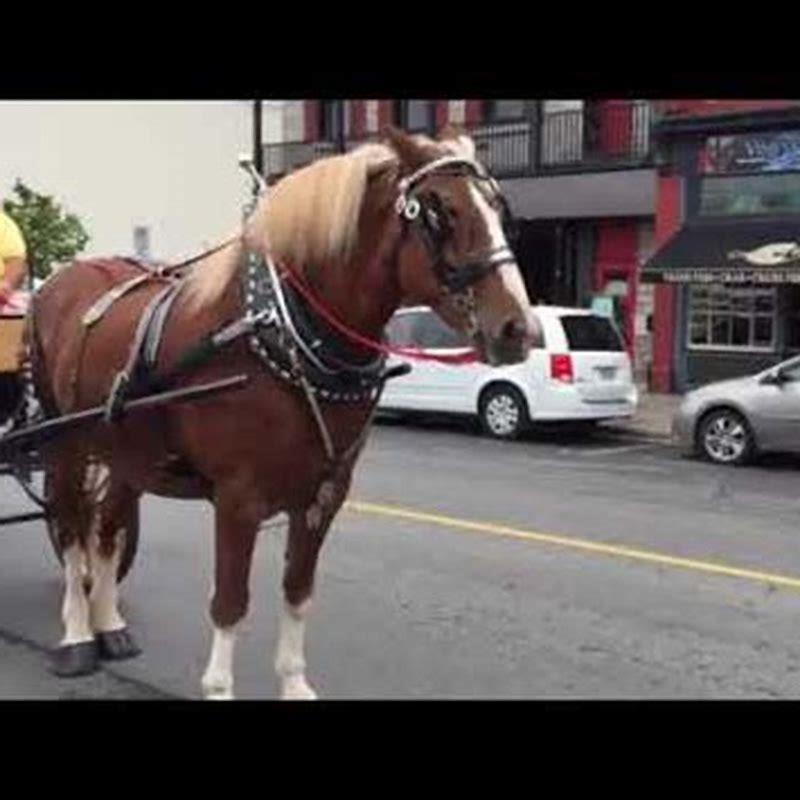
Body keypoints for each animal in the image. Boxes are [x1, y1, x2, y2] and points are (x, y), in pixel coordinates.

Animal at [26, 125, 541, 699]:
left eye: (498, 207)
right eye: (440, 211)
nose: (520, 329)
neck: (282, 333)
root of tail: (60, 280)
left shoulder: (322, 496)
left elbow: (298, 590)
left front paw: (294, 682)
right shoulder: (237, 498)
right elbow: (230, 602)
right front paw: (219, 688)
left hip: (127, 453)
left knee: (108, 528)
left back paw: (110, 625)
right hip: (66, 443)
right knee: (71, 528)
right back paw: (77, 634)